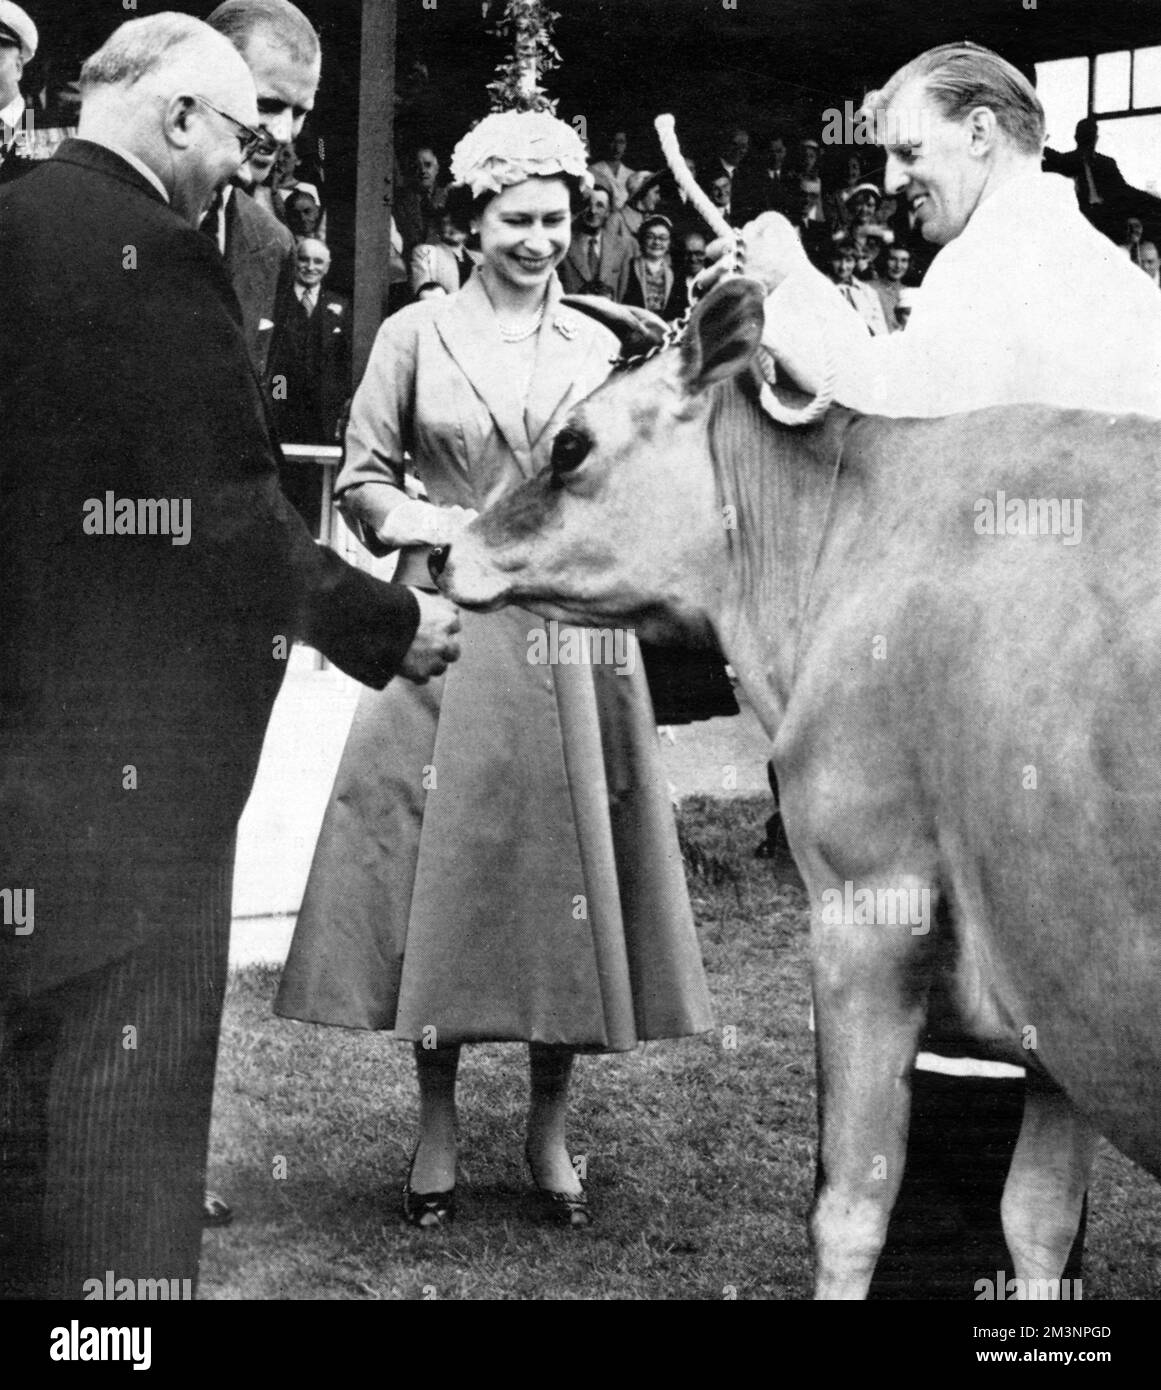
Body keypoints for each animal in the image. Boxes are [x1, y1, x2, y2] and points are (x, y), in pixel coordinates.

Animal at [433, 279, 1161, 1301]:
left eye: (570, 444)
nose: (443, 553)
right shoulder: (1054, 985)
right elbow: (1037, 1221)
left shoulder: (867, 909)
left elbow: (848, 1208)